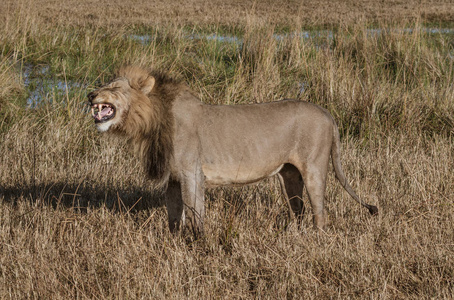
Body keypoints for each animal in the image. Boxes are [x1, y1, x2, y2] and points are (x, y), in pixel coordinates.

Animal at [87, 65, 378, 234]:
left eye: (113, 87)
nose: (90, 95)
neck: (152, 120)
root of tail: (327, 113)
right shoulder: (173, 177)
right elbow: (174, 214)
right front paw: (174, 242)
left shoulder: (192, 173)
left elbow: (195, 210)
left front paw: (199, 242)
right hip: (289, 174)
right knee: (298, 208)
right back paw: (293, 236)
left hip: (314, 169)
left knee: (320, 211)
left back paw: (316, 239)